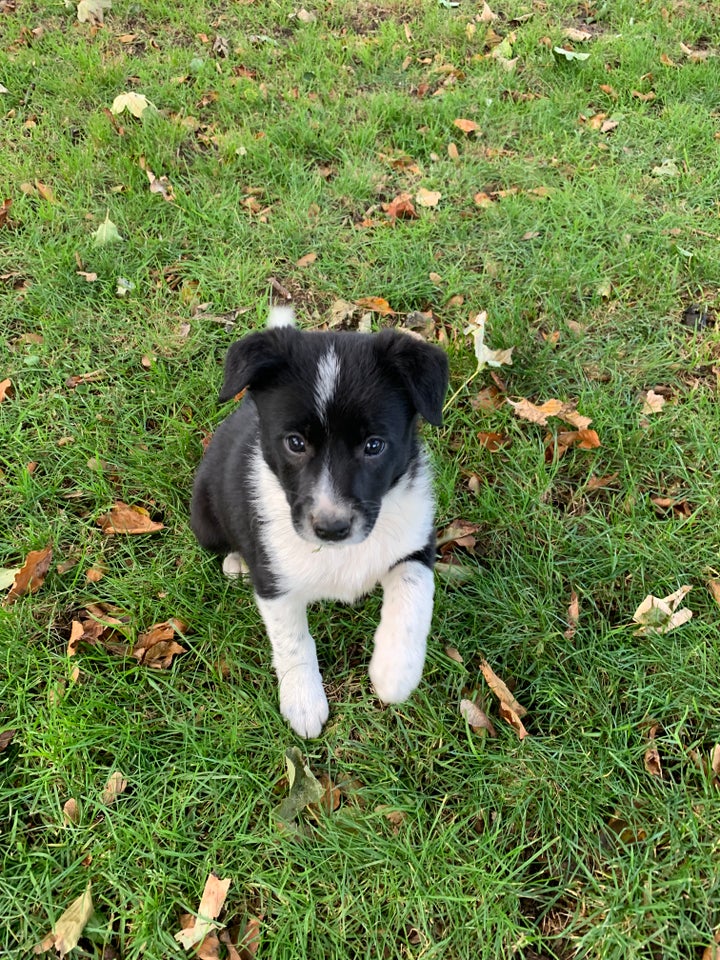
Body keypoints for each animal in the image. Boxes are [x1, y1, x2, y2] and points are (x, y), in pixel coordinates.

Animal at [191, 308, 450, 736]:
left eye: (374, 445)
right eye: (295, 443)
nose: (331, 528)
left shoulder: (415, 541)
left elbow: (412, 598)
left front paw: (395, 673)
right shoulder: (275, 582)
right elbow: (292, 639)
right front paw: (303, 701)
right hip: (204, 518)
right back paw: (236, 563)